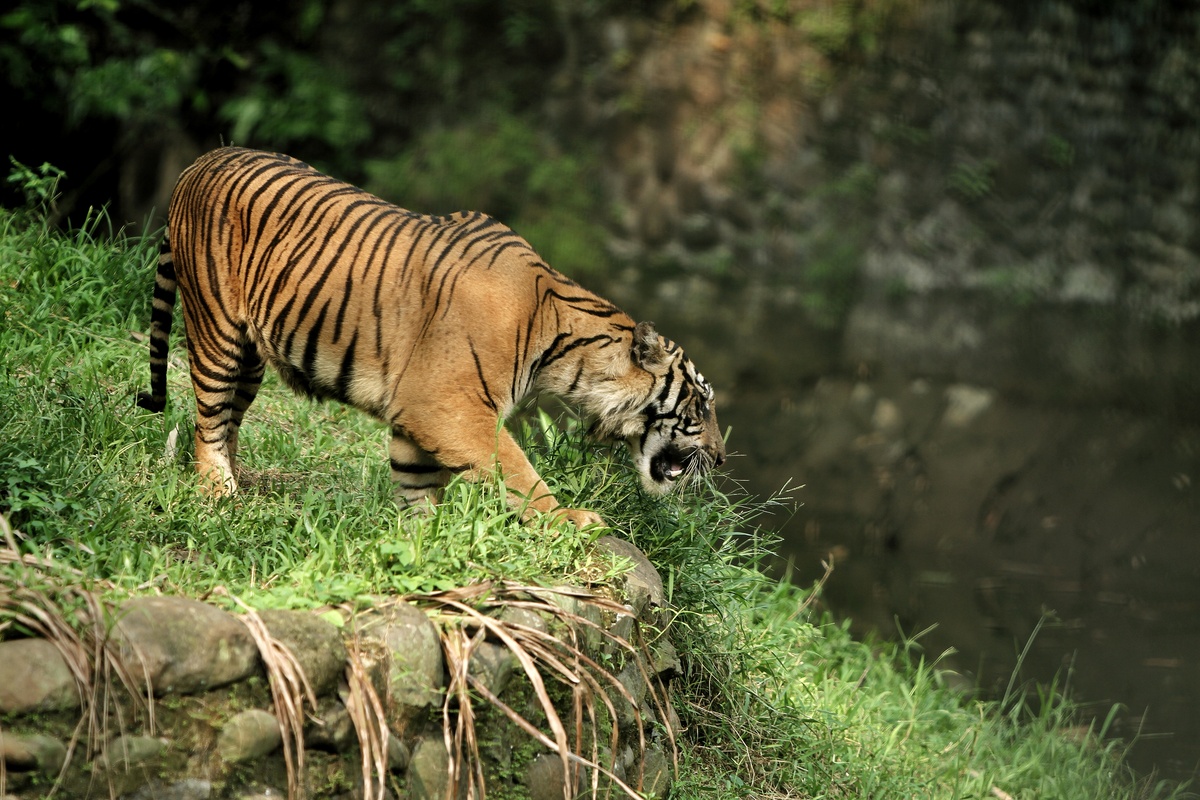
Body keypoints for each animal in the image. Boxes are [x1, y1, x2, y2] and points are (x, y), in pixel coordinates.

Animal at [137, 146, 725, 527]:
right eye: (701, 404)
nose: (720, 459)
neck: (564, 350)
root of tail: (198, 162)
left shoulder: (419, 412)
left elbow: (417, 483)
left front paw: (423, 540)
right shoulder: (449, 404)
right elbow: (515, 468)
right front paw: (568, 520)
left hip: (254, 356)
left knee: (230, 420)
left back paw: (246, 489)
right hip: (216, 329)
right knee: (208, 421)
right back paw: (219, 496)